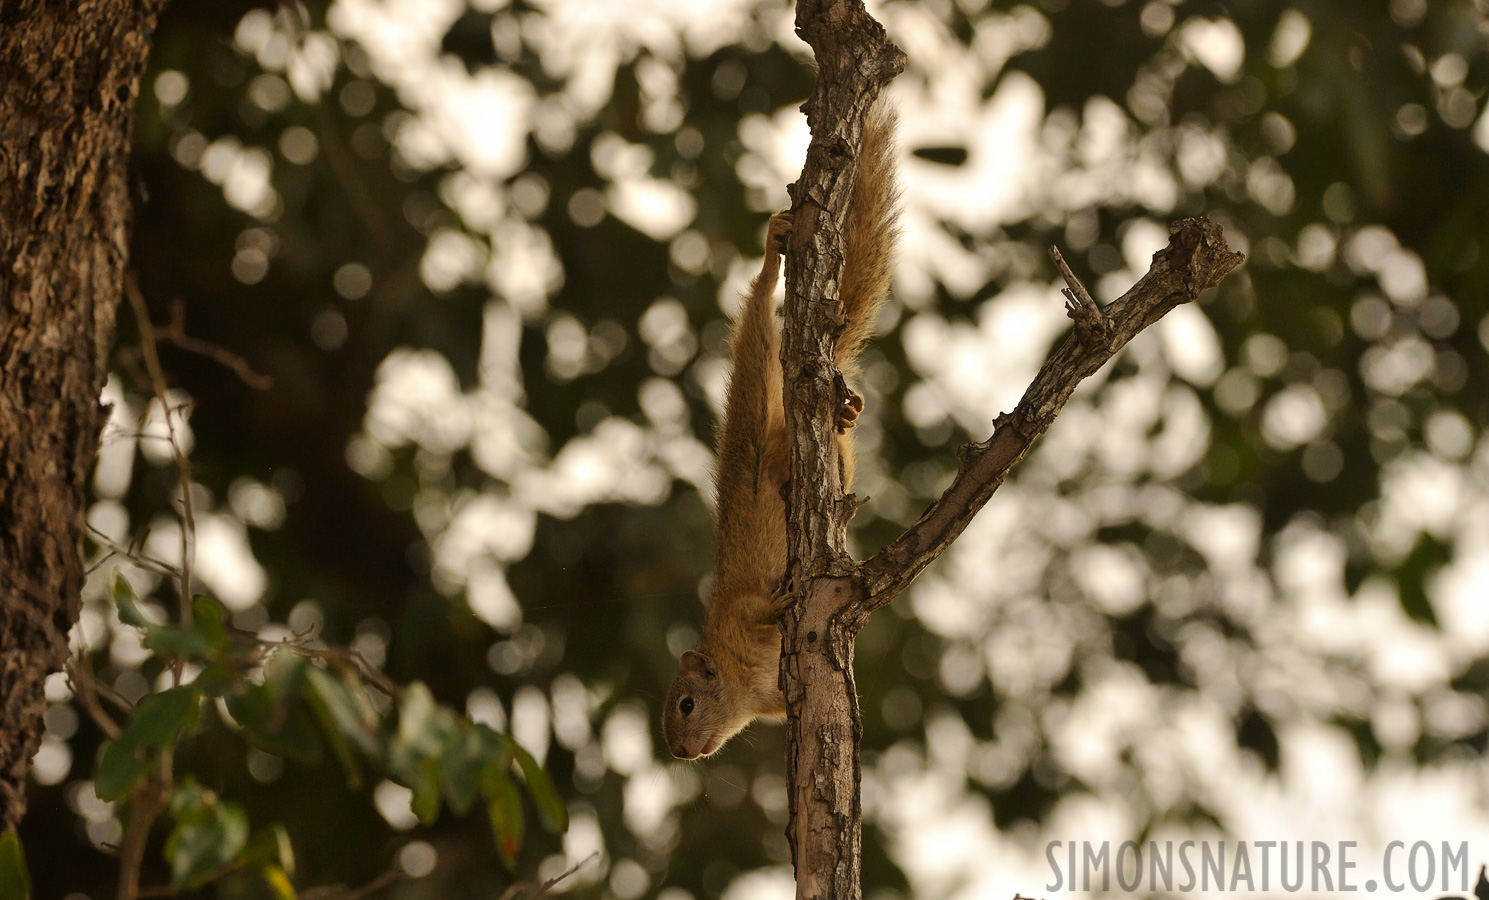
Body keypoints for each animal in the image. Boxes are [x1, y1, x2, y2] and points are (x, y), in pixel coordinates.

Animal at [664, 98, 893, 759]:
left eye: (686, 704)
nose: (681, 753)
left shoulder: (739, 617)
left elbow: (762, 611)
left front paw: (786, 599)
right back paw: (843, 416)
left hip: (770, 432)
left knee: (762, 311)